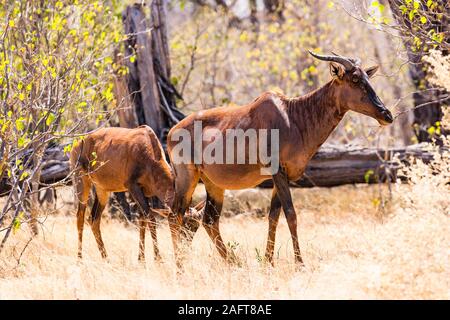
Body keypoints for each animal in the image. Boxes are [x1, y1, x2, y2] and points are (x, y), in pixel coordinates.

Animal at [167, 52, 392, 264]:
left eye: (367, 77)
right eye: (354, 79)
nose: (387, 115)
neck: (292, 116)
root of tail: (172, 131)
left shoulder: (283, 176)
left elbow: (273, 216)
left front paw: (268, 262)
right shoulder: (278, 172)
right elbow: (291, 214)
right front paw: (299, 263)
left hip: (213, 183)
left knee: (209, 219)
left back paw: (234, 263)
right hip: (187, 178)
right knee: (175, 215)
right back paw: (180, 267)